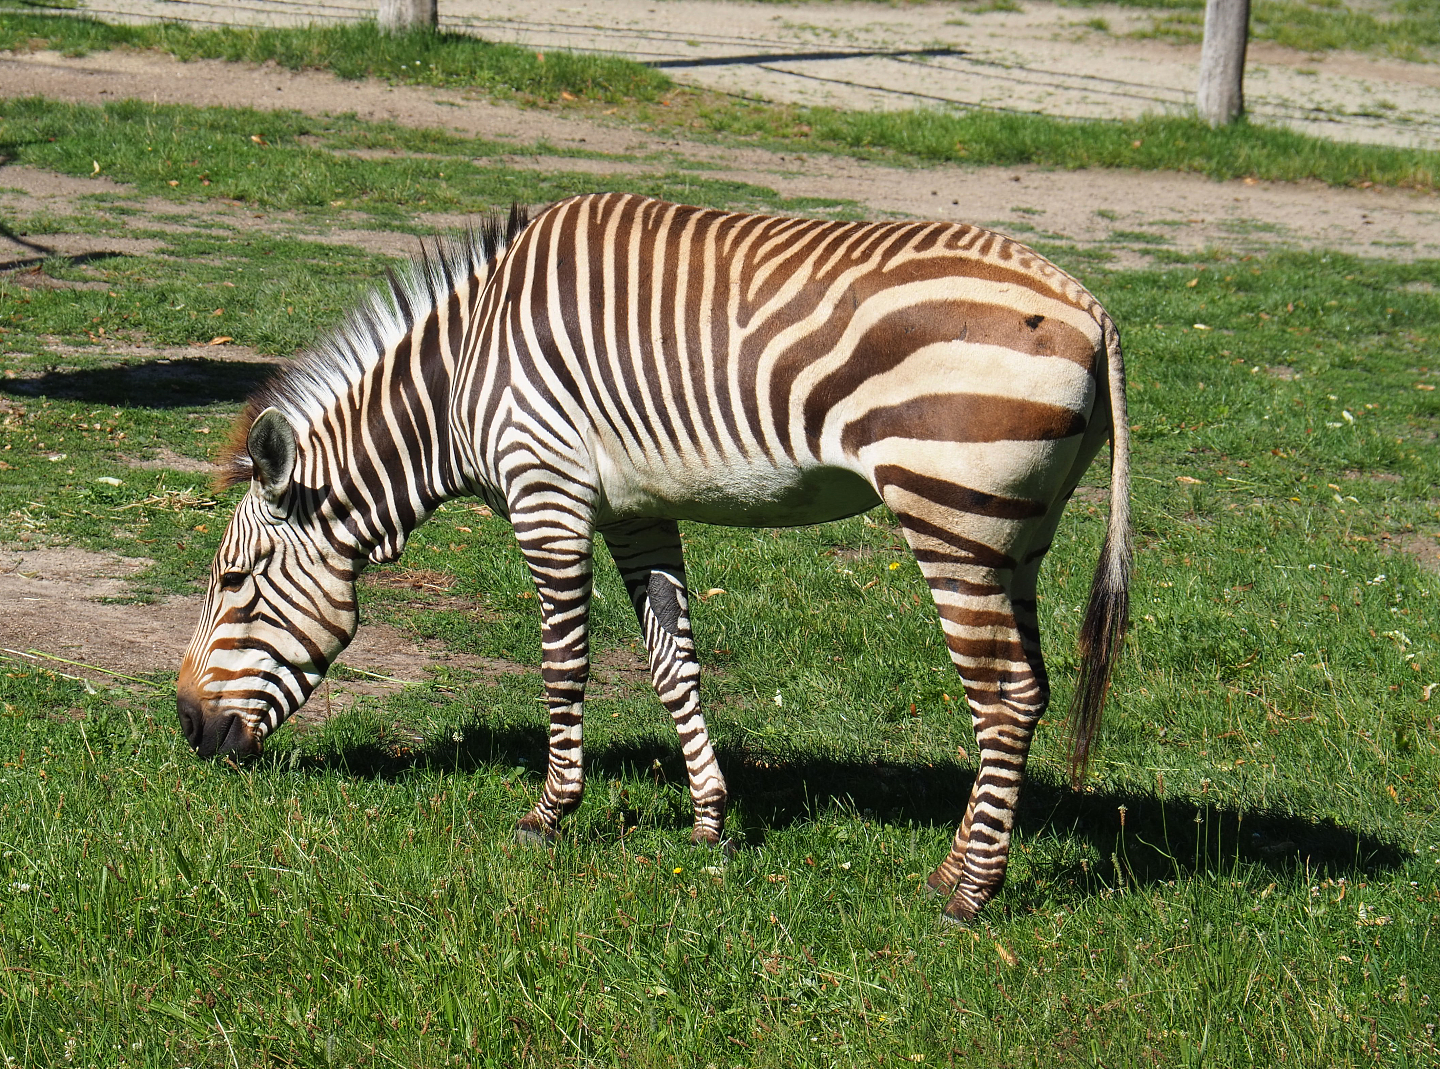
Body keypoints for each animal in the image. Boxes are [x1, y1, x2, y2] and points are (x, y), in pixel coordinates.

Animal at [178, 192, 1130, 921]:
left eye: (233, 580)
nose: (185, 727)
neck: (457, 378)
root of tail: (1090, 307)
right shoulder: (637, 511)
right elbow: (674, 662)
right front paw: (709, 820)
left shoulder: (547, 493)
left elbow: (564, 663)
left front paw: (549, 815)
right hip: (1015, 534)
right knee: (1032, 689)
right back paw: (958, 868)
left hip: (950, 515)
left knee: (1004, 698)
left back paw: (968, 893)